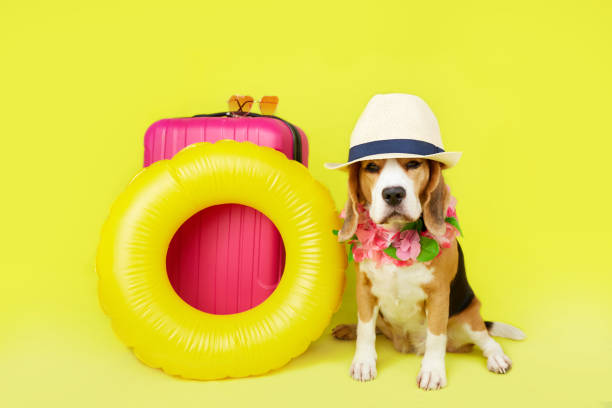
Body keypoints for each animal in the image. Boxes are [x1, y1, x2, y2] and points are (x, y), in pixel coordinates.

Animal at [332, 156, 524, 388]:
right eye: (371, 167)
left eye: (413, 164)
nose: (393, 193)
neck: (396, 241)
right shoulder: (365, 290)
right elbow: (366, 330)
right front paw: (363, 362)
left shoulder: (439, 296)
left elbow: (436, 336)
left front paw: (432, 371)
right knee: (376, 327)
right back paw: (349, 329)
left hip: (470, 319)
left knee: (488, 341)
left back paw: (497, 358)